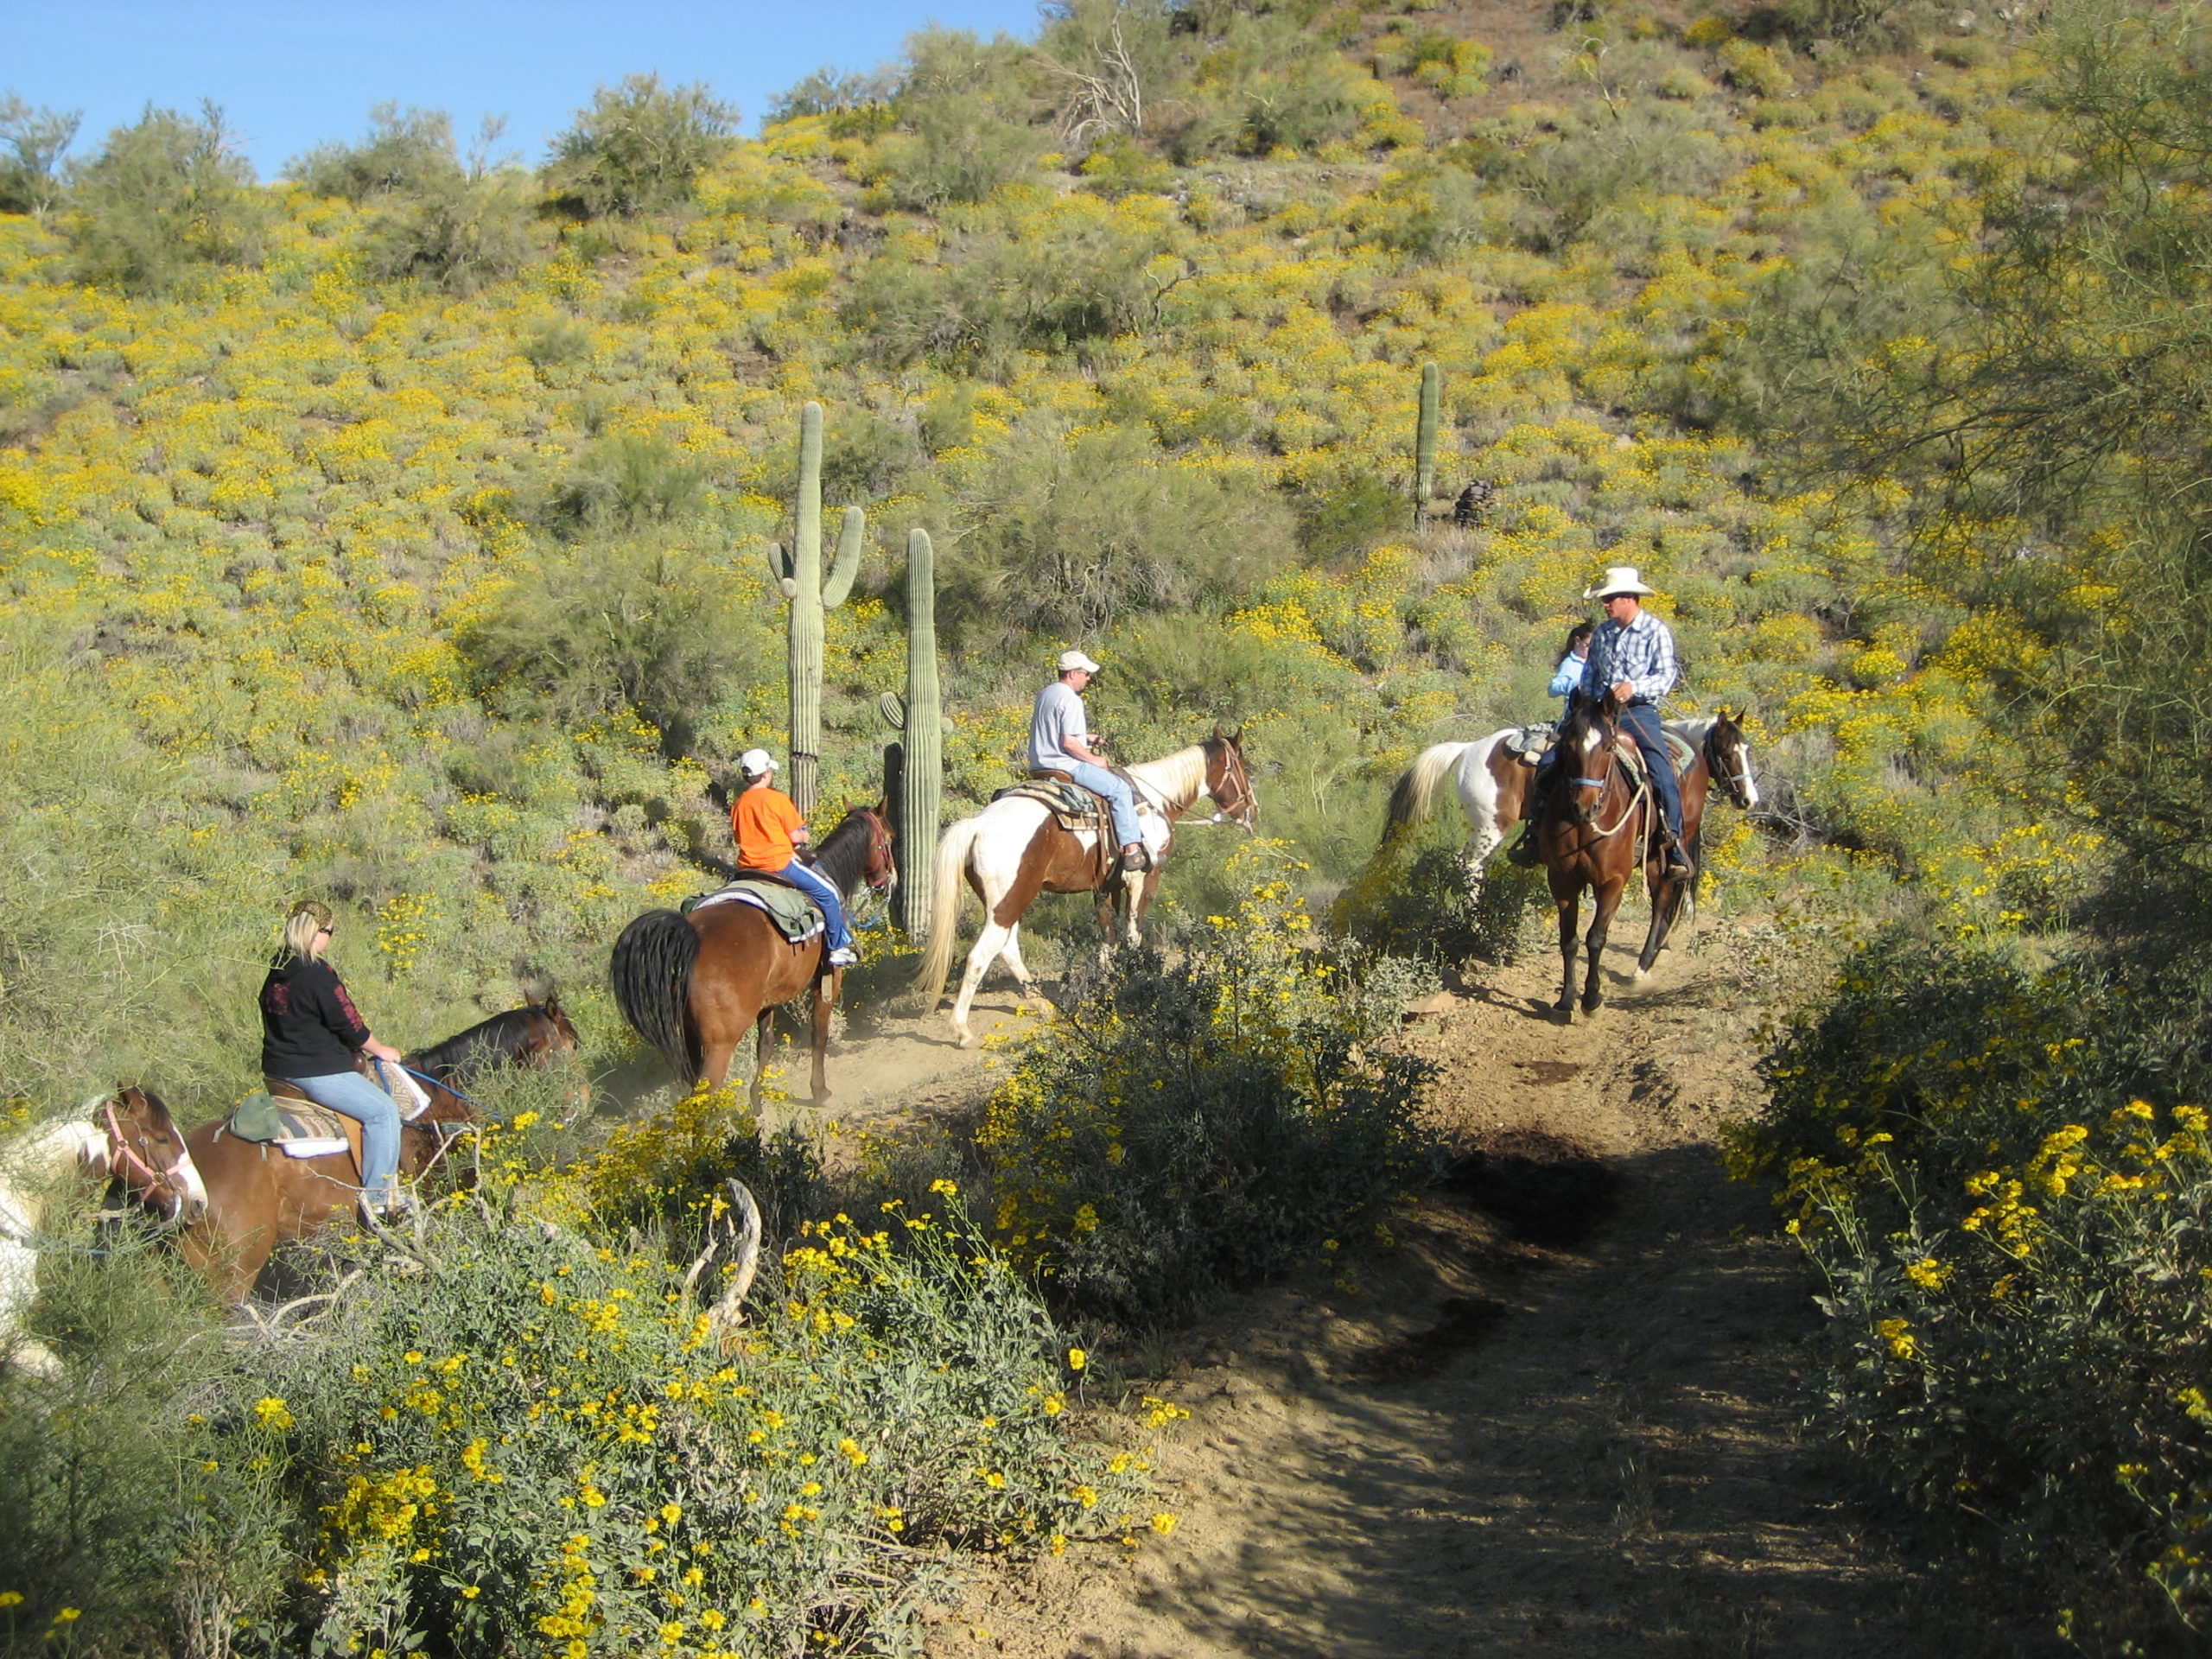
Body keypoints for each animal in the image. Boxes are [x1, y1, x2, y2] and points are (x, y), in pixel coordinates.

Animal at [610, 800, 893, 1106]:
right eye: (889, 839)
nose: (888, 882)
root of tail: (690, 938)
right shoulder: (829, 979)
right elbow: (819, 1034)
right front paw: (819, 1090)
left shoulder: (767, 1001)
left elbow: (765, 1045)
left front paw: (756, 1100)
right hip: (720, 1044)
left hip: (690, 1036)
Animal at [915, 729, 1265, 1044]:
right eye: (1244, 768)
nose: (1253, 810)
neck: (1153, 801)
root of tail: (976, 825)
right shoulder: (1143, 878)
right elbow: (1133, 932)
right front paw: (1135, 981)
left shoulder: (1106, 885)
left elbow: (1108, 937)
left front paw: (1108, 984)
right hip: (1011, 901)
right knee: (980, 956)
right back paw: (961, 1030)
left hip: (1004, 903)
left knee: (1007, 947)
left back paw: (1043, 1006)